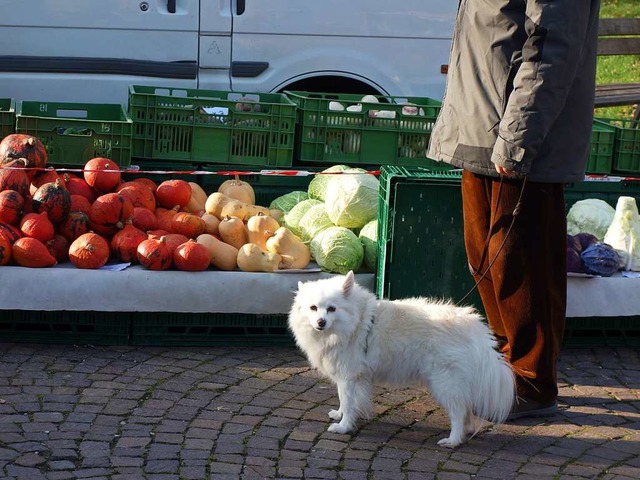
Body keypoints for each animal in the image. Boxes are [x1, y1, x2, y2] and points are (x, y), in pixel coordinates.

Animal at [288, 270, 516, 446]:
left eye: (331, 309)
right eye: (313, 308)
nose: (320, 322)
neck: (355, 323)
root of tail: (475, 327)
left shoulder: (351, 377)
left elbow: (350, 403)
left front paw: (343, 426)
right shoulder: (346, 377)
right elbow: (343, 400)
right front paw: (339, 414)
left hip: (445, 383)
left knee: (459, 412)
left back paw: (452, 440)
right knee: (466, 410)